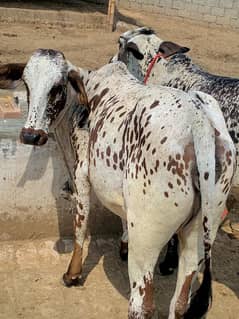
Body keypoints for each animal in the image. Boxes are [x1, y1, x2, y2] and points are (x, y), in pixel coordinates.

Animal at [0, 48, 235, 319]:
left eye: (57, 87)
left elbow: (80, 226)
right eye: (26, 83)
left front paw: (73, 273)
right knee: (179, 303)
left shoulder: (81, 176)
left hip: (146, 239)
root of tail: (199, 122)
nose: (31, 135)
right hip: (198, 233)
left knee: (141, 305)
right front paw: (122, 243)